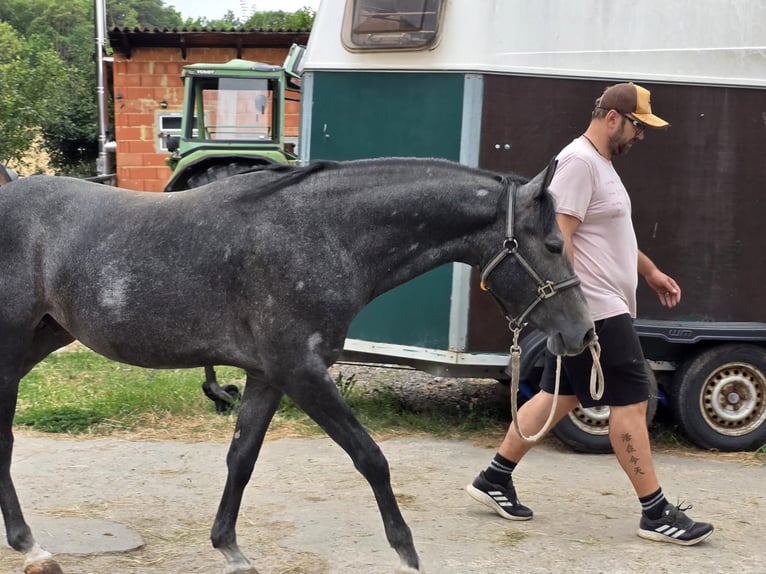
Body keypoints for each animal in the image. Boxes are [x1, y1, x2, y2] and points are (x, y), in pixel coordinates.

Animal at [0, 157, 594, 574]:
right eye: (553, 243)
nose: (581, 334)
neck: (322, 234)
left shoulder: (267, 376)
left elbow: (241, 460)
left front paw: (230, 549)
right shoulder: (302, 372)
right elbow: (371, 458)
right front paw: (406, 552)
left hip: (40, 341)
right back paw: (32, 547)